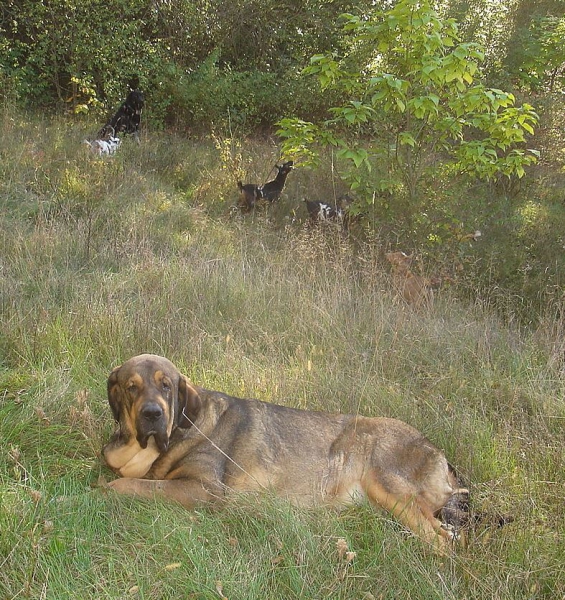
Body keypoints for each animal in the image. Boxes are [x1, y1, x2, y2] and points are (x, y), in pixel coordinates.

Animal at [102, 354, 468, 552]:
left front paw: (104, 490)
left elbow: (135, 485)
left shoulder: (204, 488)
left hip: (388, 486)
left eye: (166, 386)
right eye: (132, 387)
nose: (152, 414)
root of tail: (439, 453)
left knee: (442, 543)